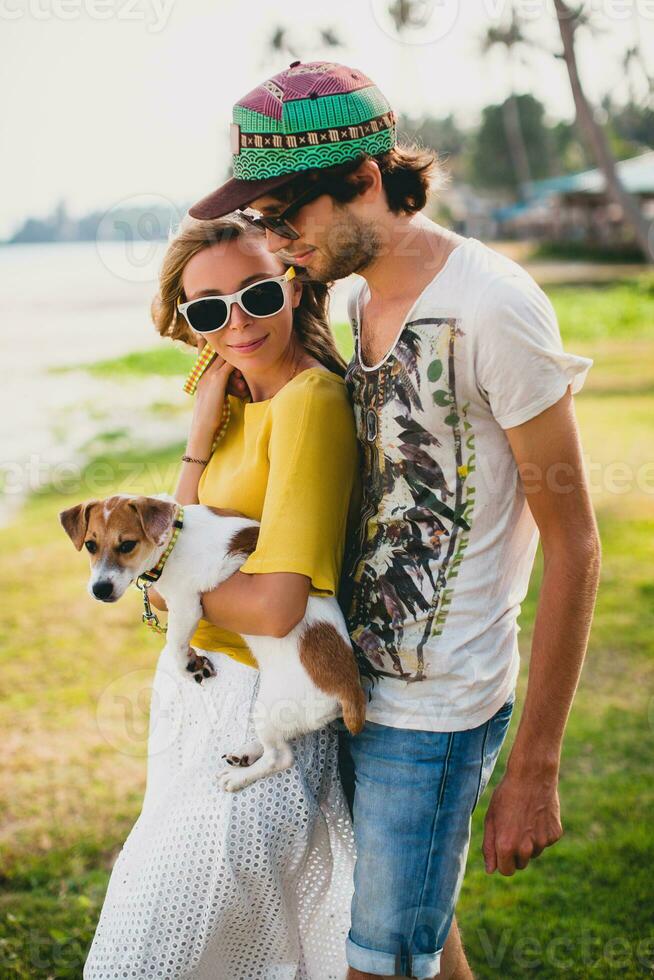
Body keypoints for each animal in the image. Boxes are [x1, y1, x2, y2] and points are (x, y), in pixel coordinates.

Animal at [59, 494, 366, 792]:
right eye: (90, 545)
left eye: (127, 545)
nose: (99, 590)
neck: (175, 536)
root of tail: (350, 691)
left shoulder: (185, 605)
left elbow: (175, 643)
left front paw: (188, 665)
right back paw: (246, 753)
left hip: (271, 706)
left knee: (280, 757)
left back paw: (239, 777)